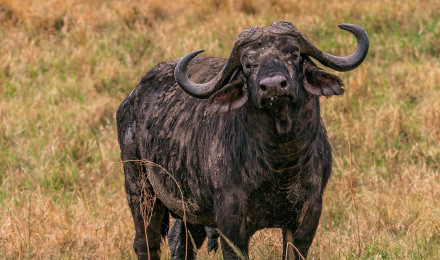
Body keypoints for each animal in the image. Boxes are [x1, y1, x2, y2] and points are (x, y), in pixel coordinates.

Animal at [116, 21, 368, 258]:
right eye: (248, 64)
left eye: (294, 53)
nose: (273, 86)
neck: (281, 164)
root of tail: (131, 99)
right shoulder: (231, 225)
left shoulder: (307, 218)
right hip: (140, 190)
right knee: (146, 243)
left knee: (181, 241)